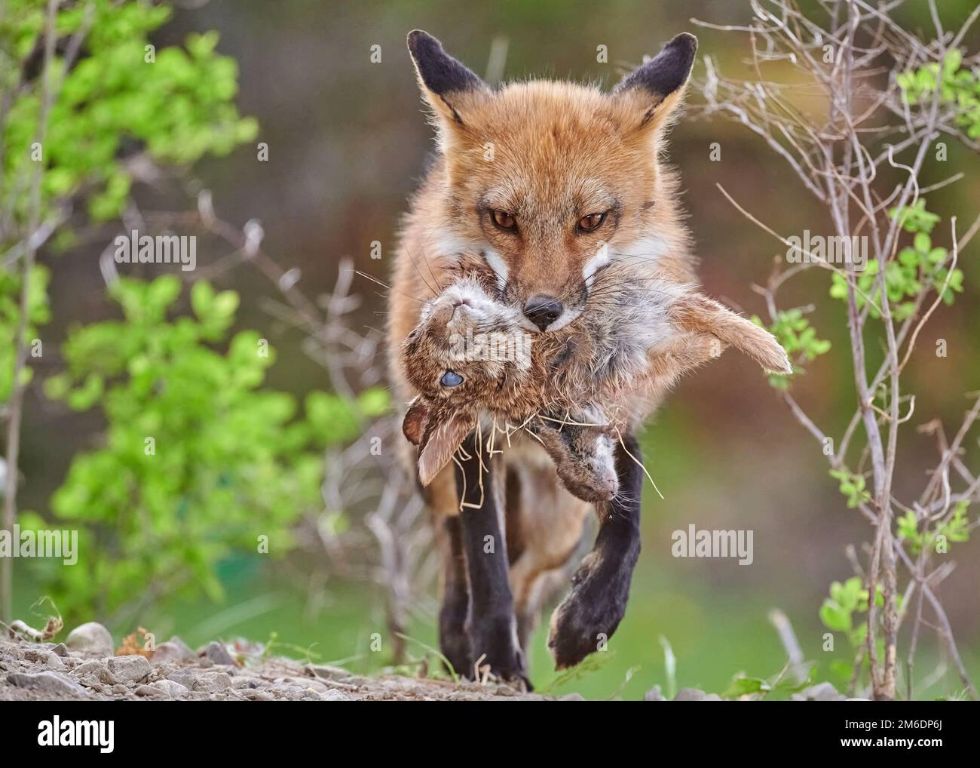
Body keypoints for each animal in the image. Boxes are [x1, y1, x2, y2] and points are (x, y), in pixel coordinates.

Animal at [386, 28, 784, 684]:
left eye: (592, 220)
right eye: (503, 219)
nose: (543, 312)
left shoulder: (615, 411)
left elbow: (628, 520)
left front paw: (589, 619)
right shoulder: (472, 435)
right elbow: (484, 561)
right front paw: (494, 658)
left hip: (555, 523)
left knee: (530, 576)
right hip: (440, 471)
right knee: (458, 555)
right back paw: (463, 644)